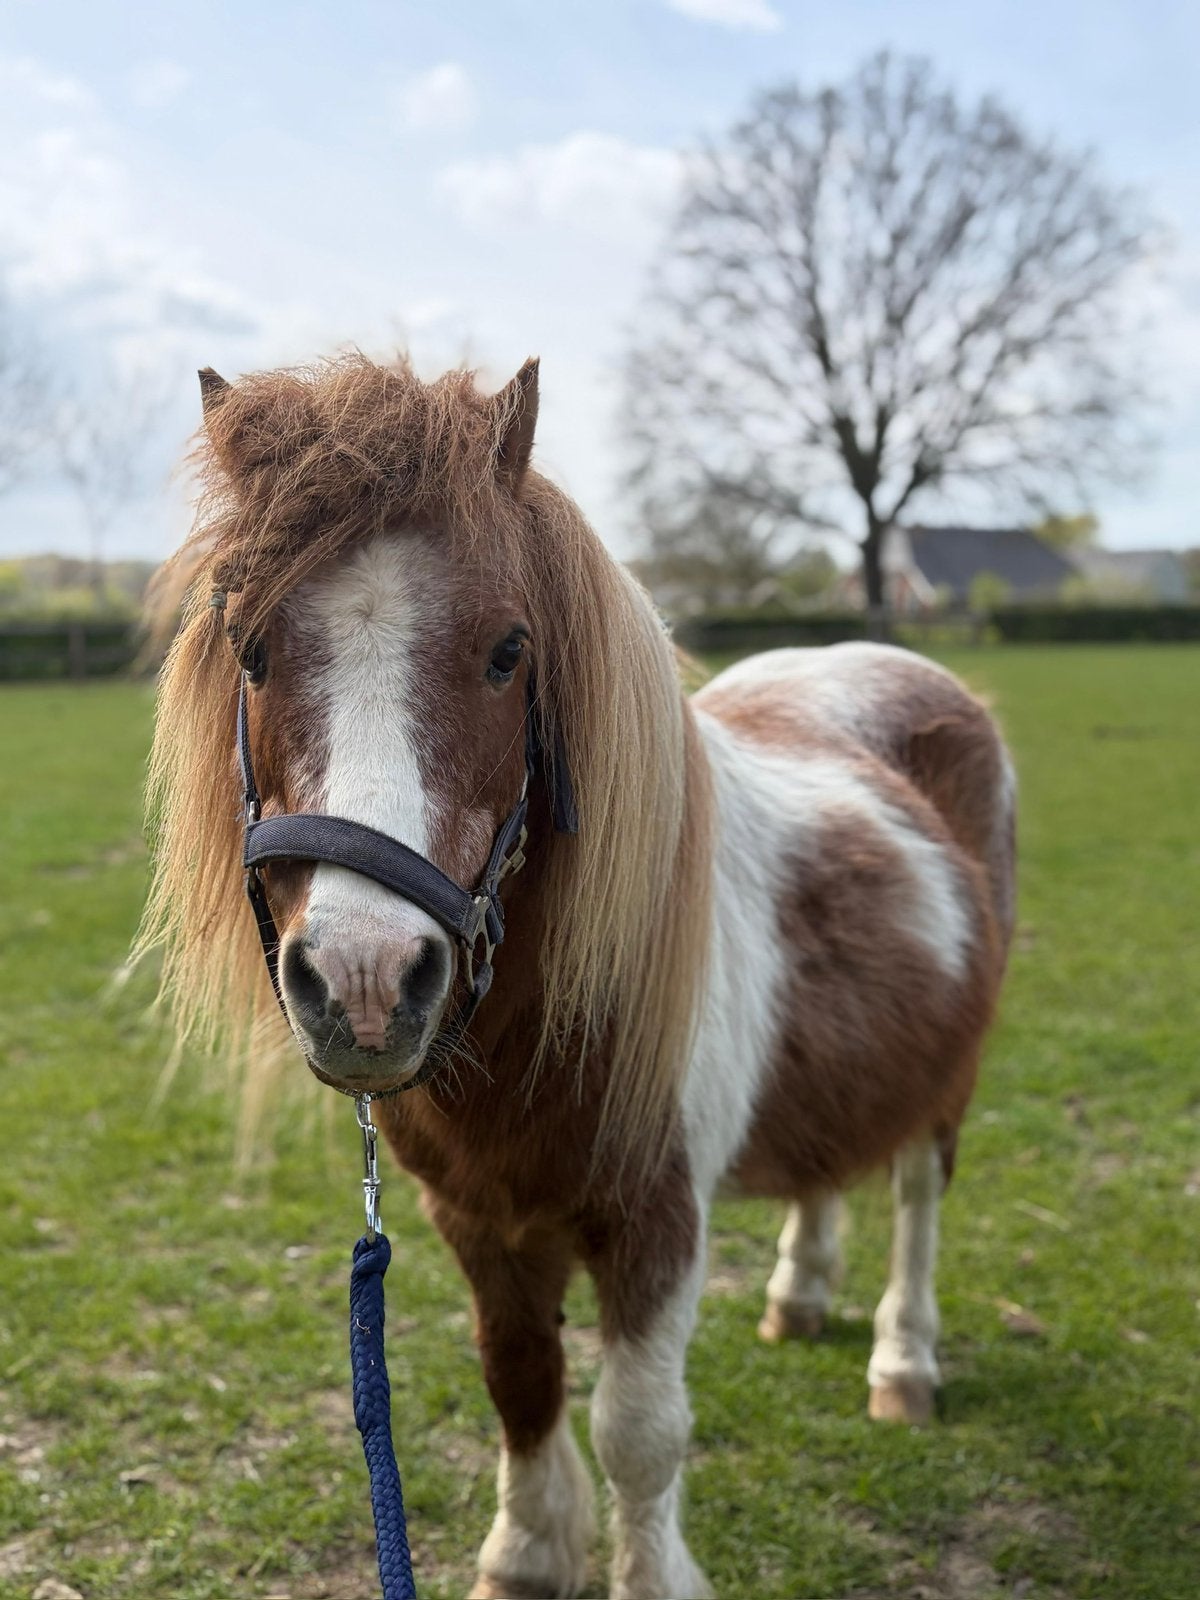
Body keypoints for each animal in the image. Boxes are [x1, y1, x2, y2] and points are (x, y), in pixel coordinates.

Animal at [140, 353, 1015, 1600]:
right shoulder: (476, 1219)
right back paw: (800, 1296)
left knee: (916, 1193)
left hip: (948, 1078)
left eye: (510, 651)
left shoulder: (657, 1223)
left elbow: (637, 1430)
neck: (529, 1041)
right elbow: (520, 1382)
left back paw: (904, 1360)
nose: (366, 982)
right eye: (252, 648)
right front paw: (525, 1557)